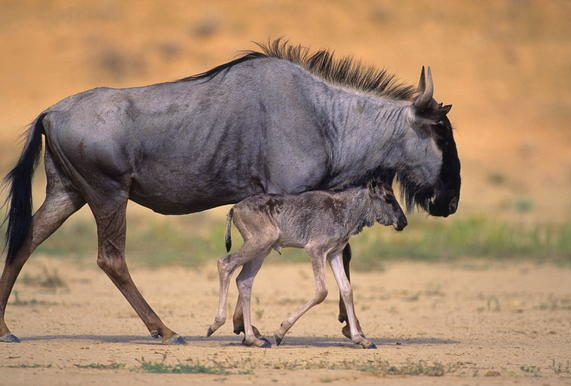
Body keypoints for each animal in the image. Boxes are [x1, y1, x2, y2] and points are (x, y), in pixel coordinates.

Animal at [206, 179, 406, 348]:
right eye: (388, 199)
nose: (403, 222)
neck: (346, 209)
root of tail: (235, 208)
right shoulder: (316, 250)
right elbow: (322, 291)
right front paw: (280, 332)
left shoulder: (334, 253)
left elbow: (347, 290)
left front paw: (360, 339)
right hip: (260, 243)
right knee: (225, 263)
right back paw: (216, 324)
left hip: (262, 250)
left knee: (244, 281)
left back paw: (253, 339)